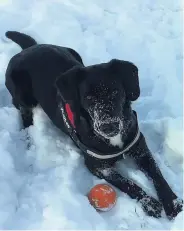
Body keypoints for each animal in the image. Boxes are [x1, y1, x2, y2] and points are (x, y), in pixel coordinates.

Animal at [4, 30, 183, 218]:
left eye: (116, 91)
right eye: (88, 97)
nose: (108, 126)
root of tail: (31, 47)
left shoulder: (140, 148)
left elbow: (158, 175)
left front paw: (173, 202)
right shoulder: (96, 166)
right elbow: (127, 183)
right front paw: (149, 202)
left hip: (74, 53)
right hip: (22, 93)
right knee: (23, 110)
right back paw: (28, 133)